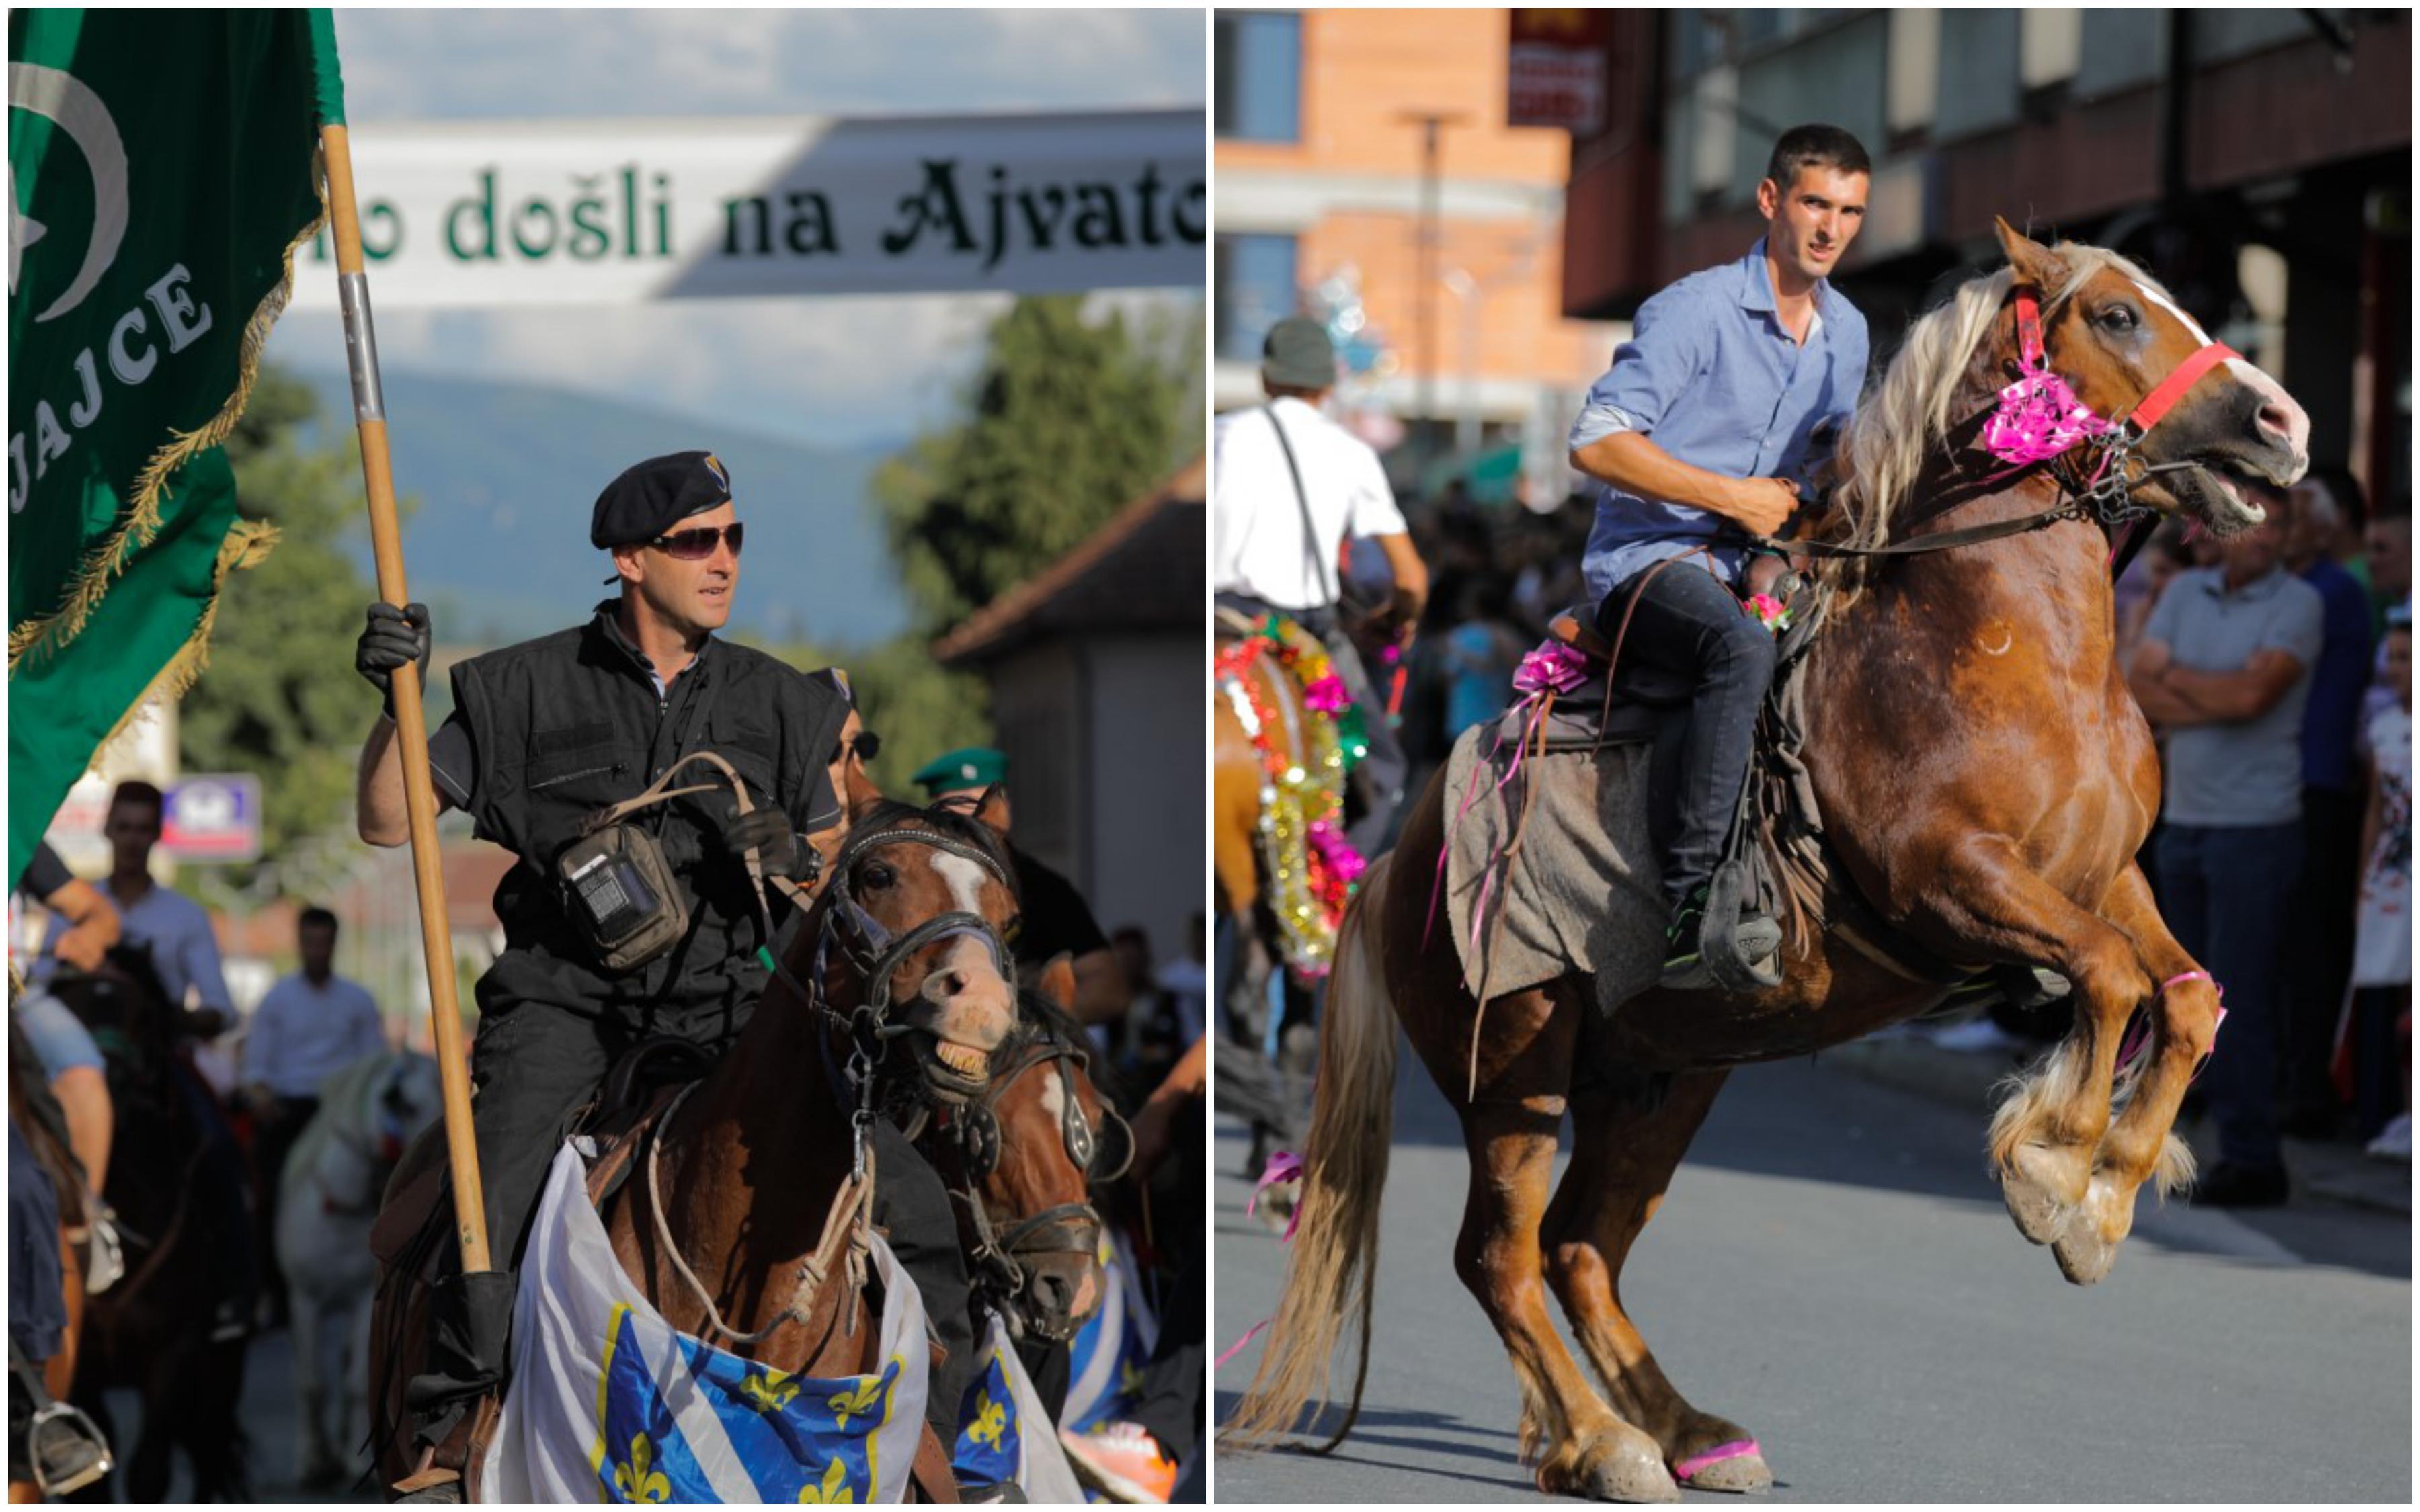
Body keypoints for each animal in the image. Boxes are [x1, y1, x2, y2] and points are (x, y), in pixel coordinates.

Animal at [1239, 221, 2313, 1500]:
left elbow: (2189, 998)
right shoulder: (1951, 881)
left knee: (1580, 1246)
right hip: (1513, 1068)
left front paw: (2105, 1198)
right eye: (2116, 316)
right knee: (1499, 1254)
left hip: (1663, 1074)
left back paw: (1681, 1430)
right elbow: (2104, 977)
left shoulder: (2105, 879)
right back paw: (1608, 1441)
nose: (2286, 423)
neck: (2008, 650)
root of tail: (1393, 864)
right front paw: (2054, 1176)